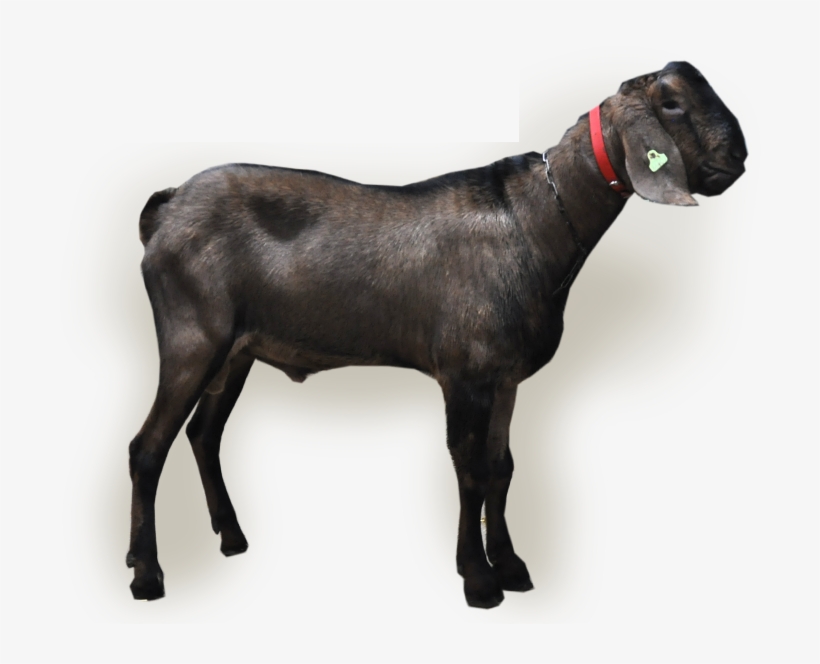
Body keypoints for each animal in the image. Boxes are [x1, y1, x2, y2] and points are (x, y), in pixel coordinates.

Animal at [127, 61, 747, 608]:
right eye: (671, 103)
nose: (737, 157)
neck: (534, 223)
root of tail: (165, 207)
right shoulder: (465, 374)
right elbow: (469, 469)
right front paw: (479, 580)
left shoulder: (504, 378)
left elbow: (502, 468)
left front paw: (513, 567)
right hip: (193, 336)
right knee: (147, 447)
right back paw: (146, 574)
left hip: (238, 350)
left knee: (204, 434)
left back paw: (230, 537)